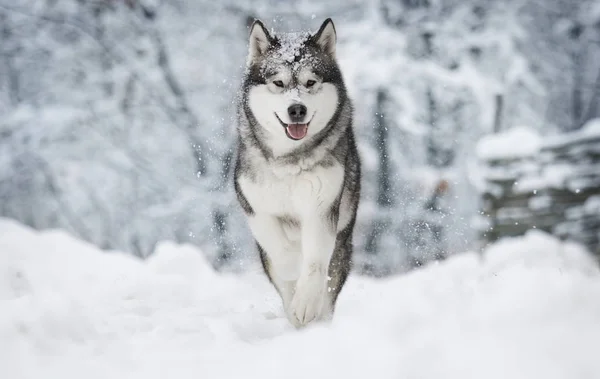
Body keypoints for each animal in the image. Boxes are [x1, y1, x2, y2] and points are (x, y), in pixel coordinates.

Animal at [232, 17, 358, 328]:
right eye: (278, 82)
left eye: (310, 82)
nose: (296, 109)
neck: (289, 163)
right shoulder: (254, 206)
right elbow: (279, 250)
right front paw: (290, 267)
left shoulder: (322, 208)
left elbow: (313, 263)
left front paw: (306, 302)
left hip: (343, 240)